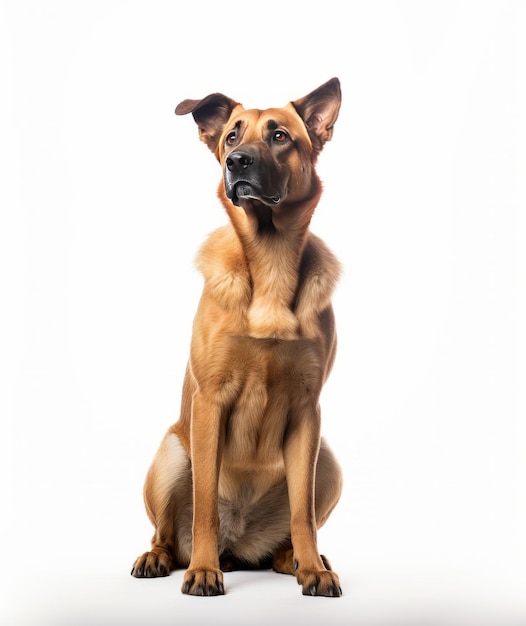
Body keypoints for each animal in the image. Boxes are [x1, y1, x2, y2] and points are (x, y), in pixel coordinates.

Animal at [131, 78, 344, 596]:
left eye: (280, 136)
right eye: (232, 136)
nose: (237, 162)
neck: (270, 263)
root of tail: (240, 544)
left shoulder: (308, 411)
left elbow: (303, 513)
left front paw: (313, 570)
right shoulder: (210, 403)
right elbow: (205, 503)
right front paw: (203, 571)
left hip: (327, 461)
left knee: (297, 523)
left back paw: (298, 559)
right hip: (172, 453)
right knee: (168, 532)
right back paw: (162, 558)